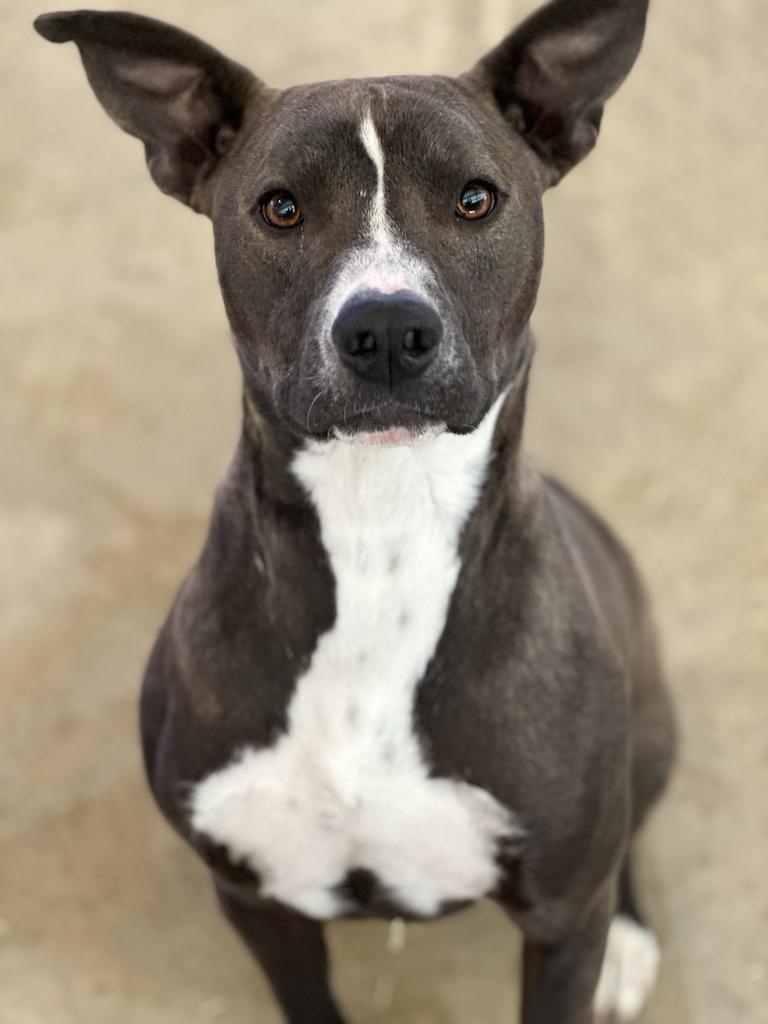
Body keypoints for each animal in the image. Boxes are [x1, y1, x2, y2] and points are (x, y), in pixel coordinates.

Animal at [37, 4, 679, 1019]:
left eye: (475, 199)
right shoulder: (256, 897)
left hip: (646, 740)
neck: (384, 524)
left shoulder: (559, 912)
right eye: (280, 208)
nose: (384, 330)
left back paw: (627, 937)